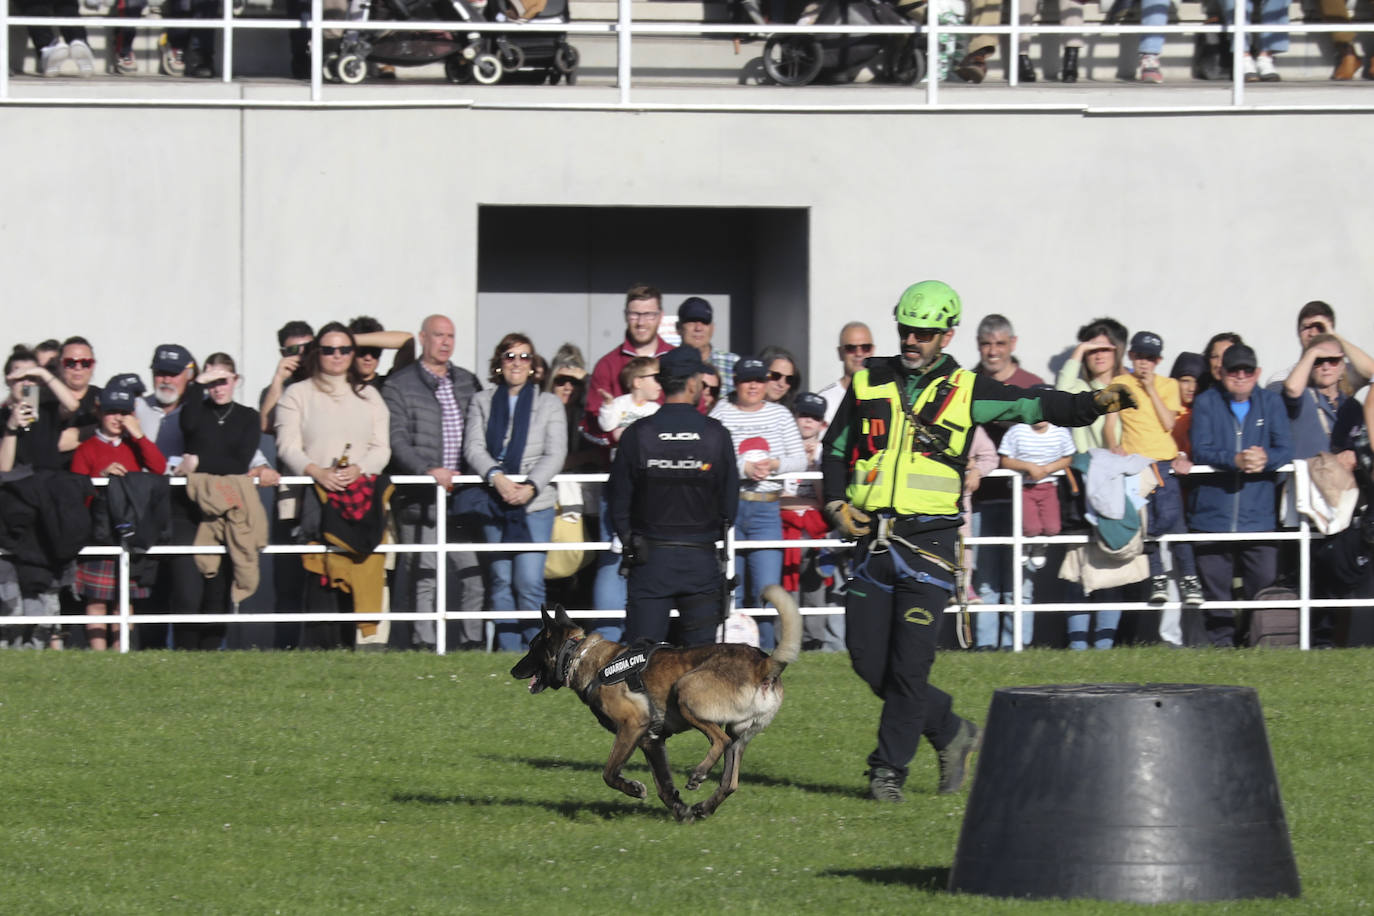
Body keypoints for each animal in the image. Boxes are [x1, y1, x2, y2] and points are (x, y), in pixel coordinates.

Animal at [511, 587, 802, 823]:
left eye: (532, 646)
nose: (513, 670)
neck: (579, 655)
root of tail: (763, 663)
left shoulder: (631, 727)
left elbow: (610, 772)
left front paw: (634, 789)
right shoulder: (650, 739)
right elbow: (664, 784)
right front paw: (681, 812)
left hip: (686, 692)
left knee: (720, 740)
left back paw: (698, 774)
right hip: (740, 734)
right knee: (730, 781)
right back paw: (704, 808)